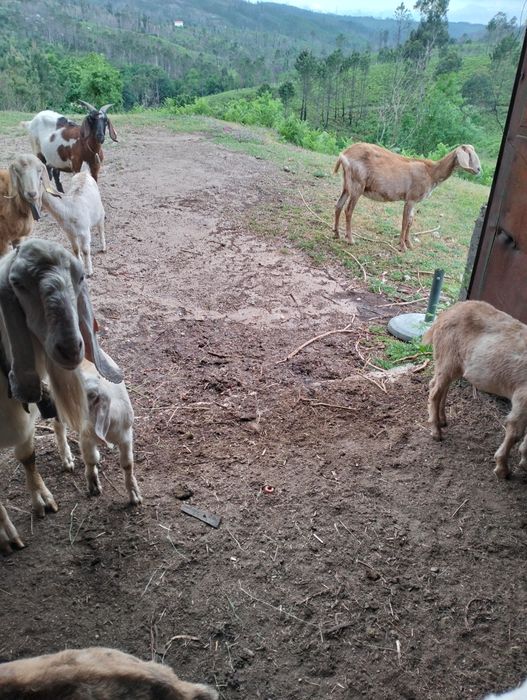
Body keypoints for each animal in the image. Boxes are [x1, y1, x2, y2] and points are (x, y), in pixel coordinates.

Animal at [0, 239, 122, 553]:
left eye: (80, 277)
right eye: (16, 283)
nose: (69, 348)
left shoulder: (26, 422)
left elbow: (28, 456)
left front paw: (42, 500)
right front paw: (8, 535)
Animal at [53, 355, 142, 505]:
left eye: (88, 395)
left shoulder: (126, 436)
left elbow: (127, 463)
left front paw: (134, 494)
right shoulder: (85, 437)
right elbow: (91, 459)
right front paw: (93, 485)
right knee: (58, 426)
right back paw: (67, 459)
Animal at [333, 143, 481, 252]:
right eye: (469, 154)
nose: (479, 169)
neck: (431, 172)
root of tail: (344, 155)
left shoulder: (415, 201)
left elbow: (410, 221)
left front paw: (409, 244)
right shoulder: (410, 199)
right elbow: (404, 222)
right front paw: (402, 246)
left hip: (347, 185)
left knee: (338, 206)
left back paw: (336, 234)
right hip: (357, 184)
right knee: (348, 210)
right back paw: (350, 239)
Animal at [423, 300, 527, 479]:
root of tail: (443, 316)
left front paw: (524, 462)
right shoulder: (523, 397)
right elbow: (515, 433)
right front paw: (503, 469)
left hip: (453, 363)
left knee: (439, 386)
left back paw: (442, 420)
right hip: (448, 357)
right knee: (435, 392)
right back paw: (436, 431)